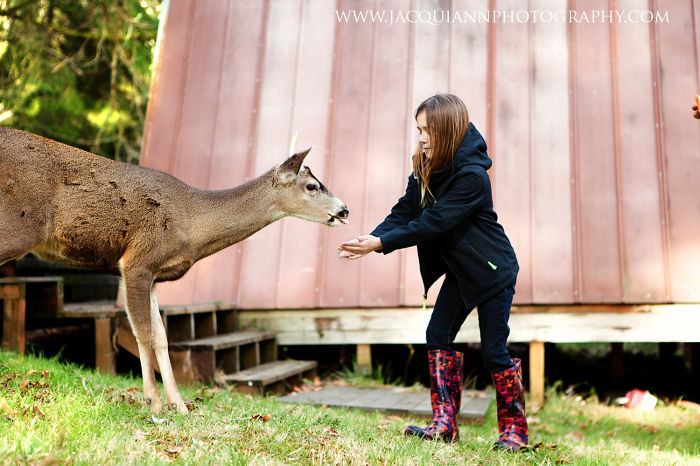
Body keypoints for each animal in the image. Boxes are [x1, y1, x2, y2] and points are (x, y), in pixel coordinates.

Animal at [0, 127, 349, 414]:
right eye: (312, 186)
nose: (344, 210)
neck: (191, 219)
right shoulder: (137, 261)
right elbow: (142, 331)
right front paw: (153, 403)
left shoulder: (154, 274)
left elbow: (162, 336)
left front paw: (178, 405)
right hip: (16, 228)